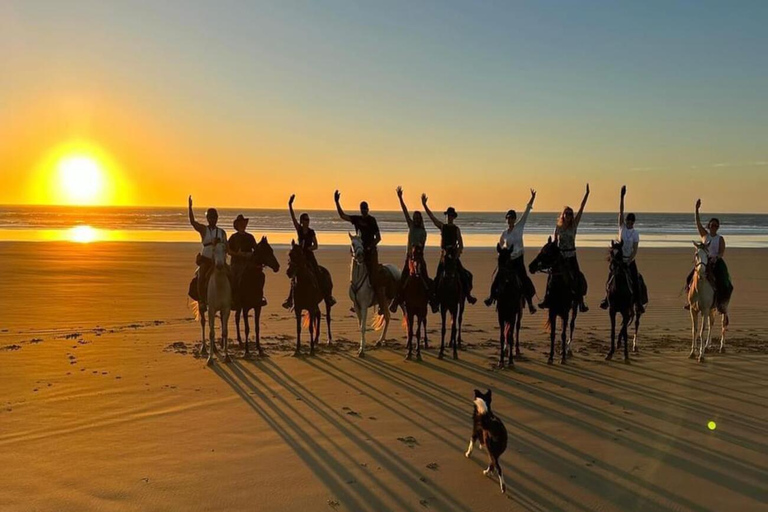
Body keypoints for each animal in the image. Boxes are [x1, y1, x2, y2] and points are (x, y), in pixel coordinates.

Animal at [198, 238, 231, 366]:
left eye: (224, 250)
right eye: (214, 250)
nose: (220, 265)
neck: (219, 286)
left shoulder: (226, 309)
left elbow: (225, 331)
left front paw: (227, 356)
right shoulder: (211, 309)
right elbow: (211, 333)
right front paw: (210, 359)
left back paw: (216, 349)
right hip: (202, 306)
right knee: (203, 323)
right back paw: (203, 349)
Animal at [528, 238, 584, 366]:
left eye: (547, 253)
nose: (530, 266)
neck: (559, 288)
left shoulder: (565, 313)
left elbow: (563, 334)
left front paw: (562, 358)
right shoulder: (552, 312)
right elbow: (553, 334)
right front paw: (550, 357)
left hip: (574, 308)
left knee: (571, 326)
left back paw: (568, 350)